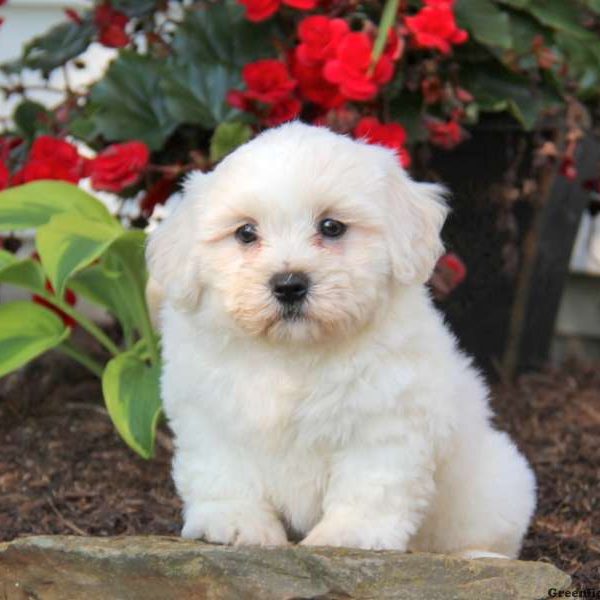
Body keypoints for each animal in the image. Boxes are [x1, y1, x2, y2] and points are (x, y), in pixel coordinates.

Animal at [148, 122, 536, 556]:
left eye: (331, 227)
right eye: (245, 233)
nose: (289, 285)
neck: (292, 352)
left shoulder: (387, 418)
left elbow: (371, 483)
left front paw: (349, 535)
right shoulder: (209, 414)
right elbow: (224, 472)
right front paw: (235, 523)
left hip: (497, 484)